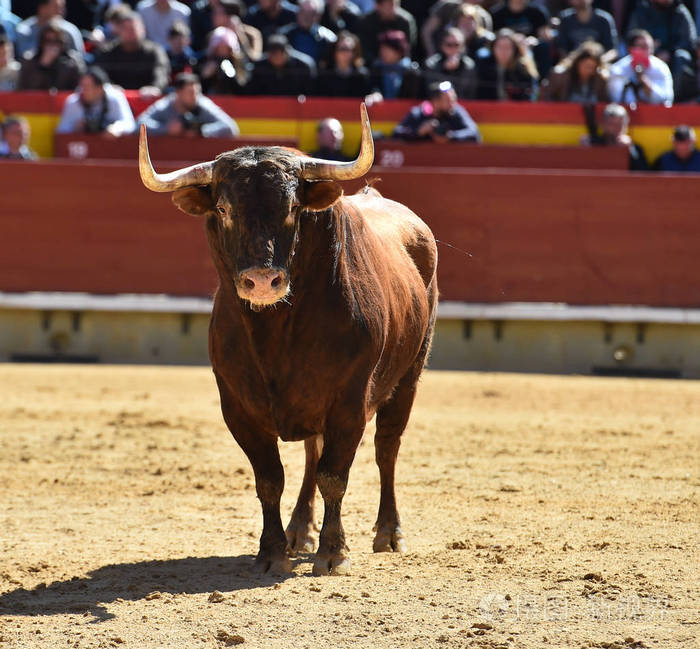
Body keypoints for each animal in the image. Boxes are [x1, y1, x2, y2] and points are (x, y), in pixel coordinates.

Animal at [138, 106, 438, 576]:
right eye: (222, 207)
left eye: (294, 207)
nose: (262, 281)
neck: (276, 333)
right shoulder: (238, 407)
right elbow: (270, 479)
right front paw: (272, 551)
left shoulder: (349, 401)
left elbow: (335, 475)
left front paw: (333, 553)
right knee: (313, 454)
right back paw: (300, 530)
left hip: (408, 376)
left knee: (386, 449)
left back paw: (389, 533)